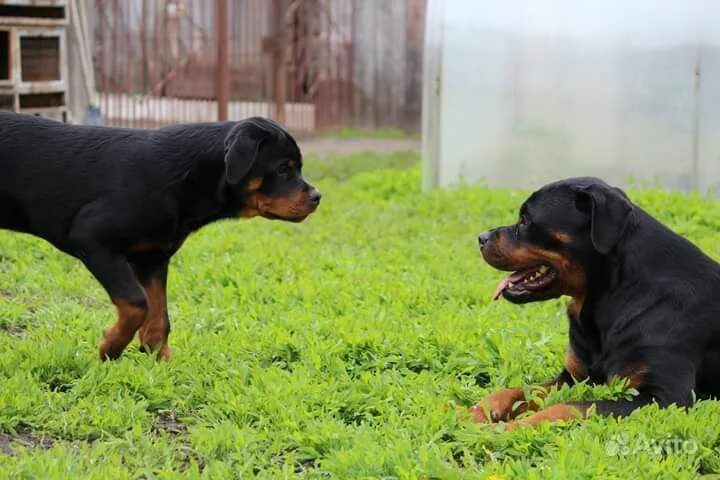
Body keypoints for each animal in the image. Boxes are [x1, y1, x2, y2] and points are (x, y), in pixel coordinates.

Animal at [0, 112, 320, 360]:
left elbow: (158, 318)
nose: (318, 197)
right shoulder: (92, 239)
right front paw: (111, 347)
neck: (188, 179)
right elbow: (136, 303)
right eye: (283, 169)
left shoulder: (152, 258)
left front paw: (161, 363)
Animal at [472, 178, 720, 430]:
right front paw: (475, 412)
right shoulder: (574, 378)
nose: (481, 237)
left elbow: (567, 407)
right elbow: (519, 390)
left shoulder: (663, 398)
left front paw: (507, 428)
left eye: (525, 220)